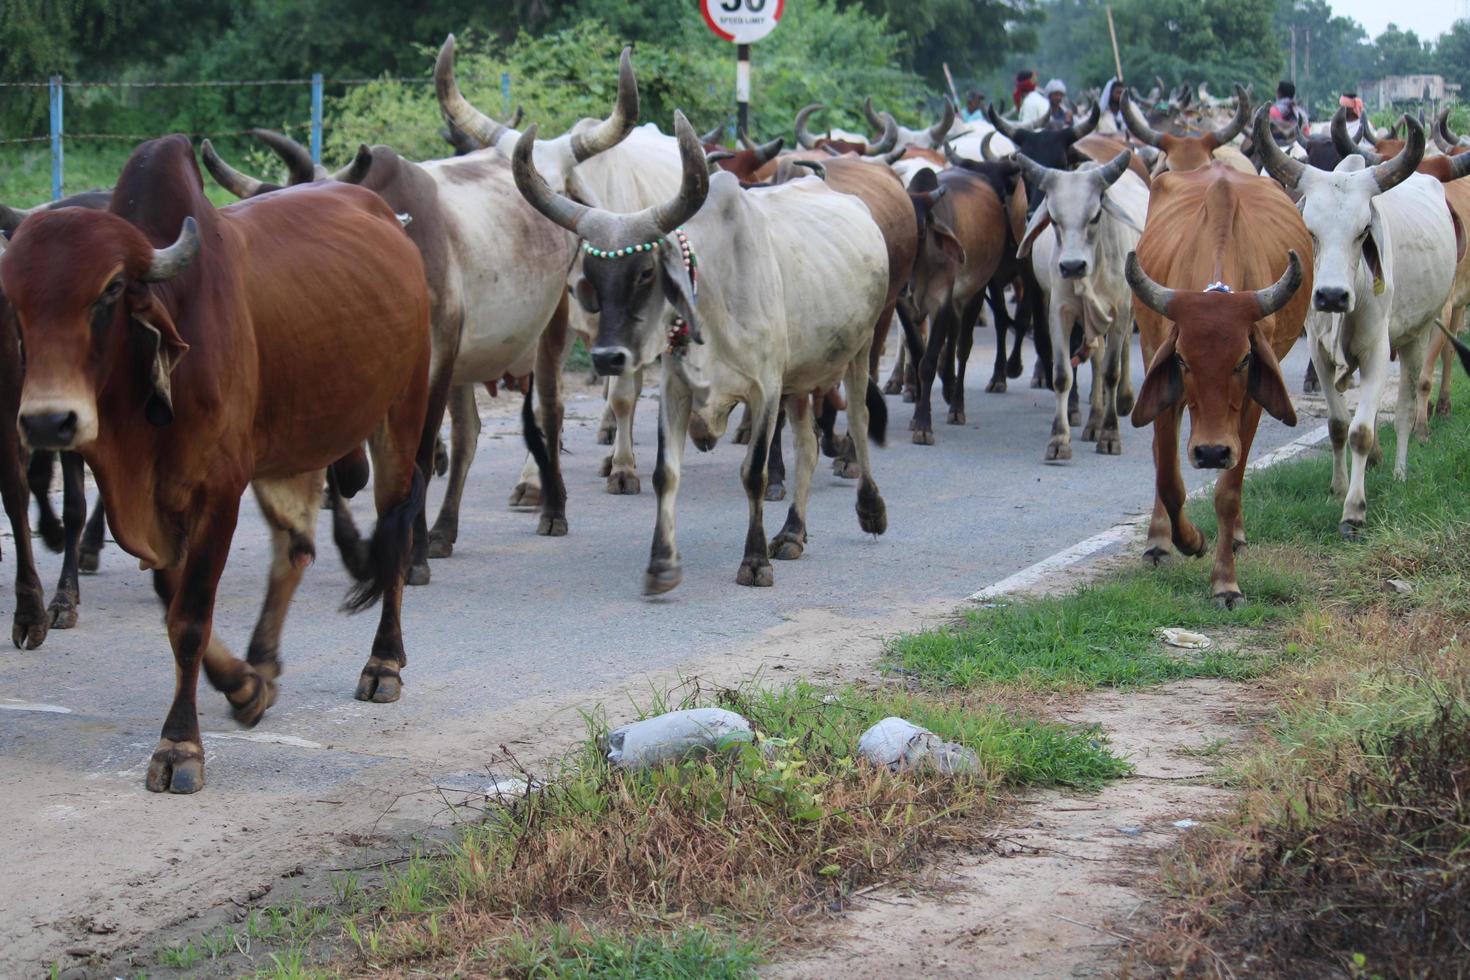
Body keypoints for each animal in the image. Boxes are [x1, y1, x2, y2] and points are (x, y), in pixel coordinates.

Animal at [0, 138, 435, 793]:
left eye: (110, 289)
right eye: (16, 301)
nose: (51, 422)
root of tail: (391, 221)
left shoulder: (219, 490)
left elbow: (188, 618)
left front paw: (179, 746)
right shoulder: (154, 506)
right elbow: (171, 597)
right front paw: (245, 687)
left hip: (400, 416)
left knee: (397, 529)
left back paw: (384, 661)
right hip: (288, 445)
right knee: (295, 549)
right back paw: (265, 660)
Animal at [1011, 150, 1146, 464]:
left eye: (1095, 215)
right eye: (1053, 218)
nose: (1072, 266)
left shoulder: (1120, 310)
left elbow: (1111, 371)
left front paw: (1110, 435)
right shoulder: (1060, 312)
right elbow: (1063, 375)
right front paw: (1059, 440)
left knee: (1119, 352)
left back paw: (1122, 401)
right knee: (1095, 359)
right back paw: (1094, 421)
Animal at [1123, 163, 1311, 605]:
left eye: (1243, 359)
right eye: (1182, 360)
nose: (1210, 452)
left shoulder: (1252, 402)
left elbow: (1228, 491)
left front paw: (1225, 582)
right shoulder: (1166, 382)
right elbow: (1169, 479)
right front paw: (1189, 541)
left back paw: (1237, 538)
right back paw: (1159, 542)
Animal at [1252, 113, 1458, 537]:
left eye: (1364, 230)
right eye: (1309, 229)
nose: (1331, 296)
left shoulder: (1378, 351)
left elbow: (1361, 431)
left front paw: (1354, 510)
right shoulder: (1319, 353)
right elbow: (1337, 424)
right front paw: (1338, 488)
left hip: (1418, 335)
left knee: (1406, 406)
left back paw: (1398, 471)